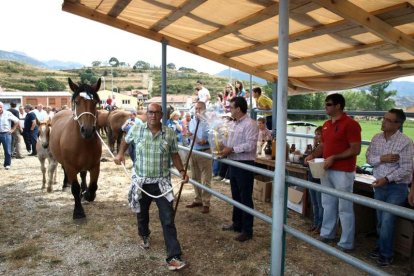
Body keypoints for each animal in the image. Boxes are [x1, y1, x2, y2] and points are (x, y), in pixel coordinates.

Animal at [49, 77, 102, 220]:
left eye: (95, 102)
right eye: (77, 102)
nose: (87, 130)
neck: (83, 142)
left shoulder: (95, 165)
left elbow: (93, 187)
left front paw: (86, 194)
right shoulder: (71, 167)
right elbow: (75, 188)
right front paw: (78, 212)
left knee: (83, 175)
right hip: (63, 162)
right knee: (65, 172)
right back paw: (65, 185)